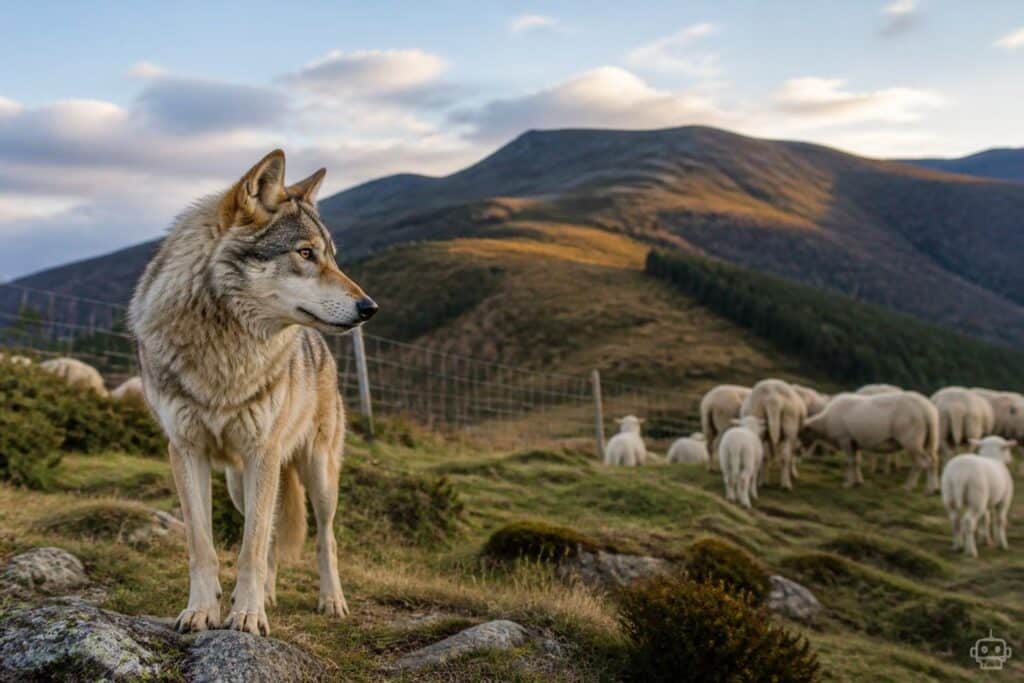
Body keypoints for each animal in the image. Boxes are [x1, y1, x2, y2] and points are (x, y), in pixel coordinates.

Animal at [129, 150, 377, 636]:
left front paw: (246, 616)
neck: (224, 350)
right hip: (239, 483)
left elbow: (251, 551)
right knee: (271, 534)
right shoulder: (186, 451)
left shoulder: (262, 451)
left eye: (332, 257)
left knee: (324, 539)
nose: (369, 308)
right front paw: (202, 611)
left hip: (317, 475)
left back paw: (331, 601)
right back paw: (270, 595)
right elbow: (205, 547)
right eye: (305, 253)